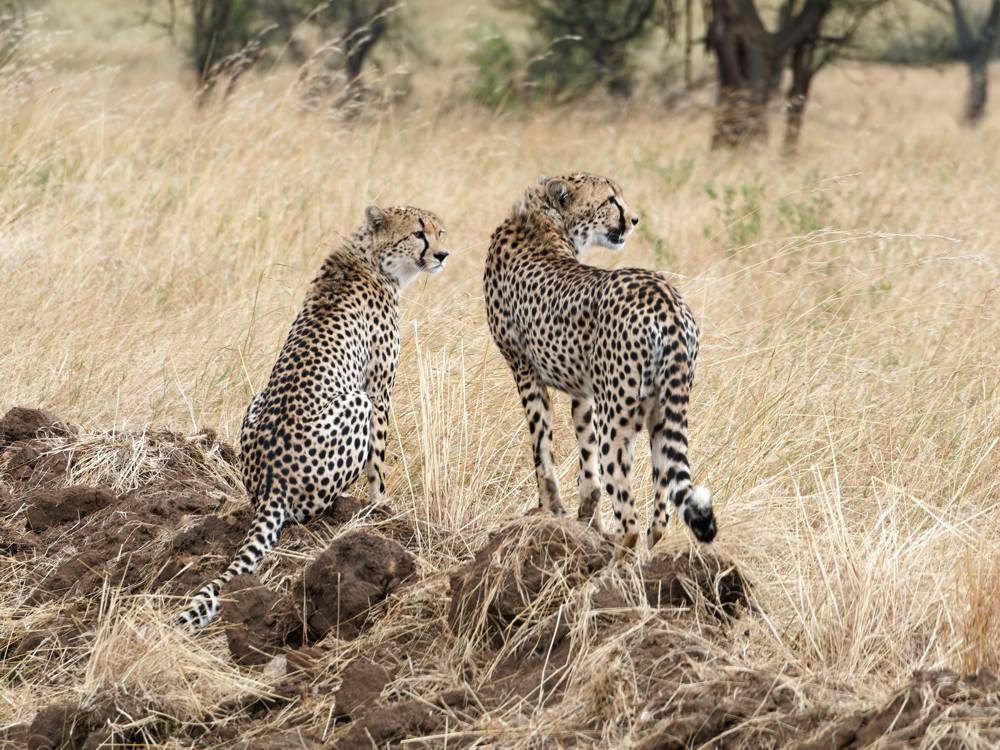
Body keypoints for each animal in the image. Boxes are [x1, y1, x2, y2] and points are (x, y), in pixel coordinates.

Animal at [178, 204, 448, 628]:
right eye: (419, 233)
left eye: (440, 232)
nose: (442, 255)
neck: (371, 258)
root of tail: (271, 484)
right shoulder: (377, 389)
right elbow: (378, 460)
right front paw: (381, 508)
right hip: (356, 401)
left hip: (256, 402)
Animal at [482, 176, 712, 552]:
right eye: (610, 200)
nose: (633, 219)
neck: (543, 220)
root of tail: (665, 297)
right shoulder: (585, 392)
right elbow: (586, 460)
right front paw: (585, 517)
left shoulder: (525, 370)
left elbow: (541, 448)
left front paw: (550, 511)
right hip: (662, 412)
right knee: (661, 513)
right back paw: (643, 557)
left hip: (617, 417)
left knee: (630, 517)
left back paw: (617, 555)